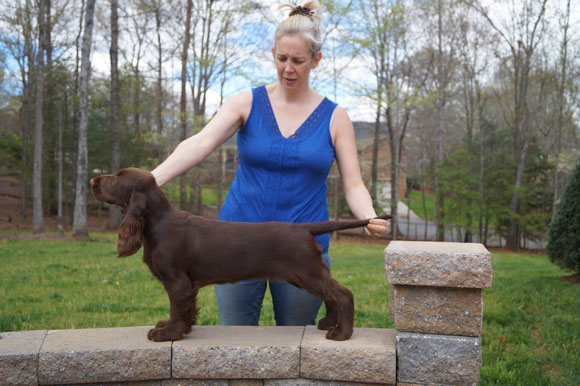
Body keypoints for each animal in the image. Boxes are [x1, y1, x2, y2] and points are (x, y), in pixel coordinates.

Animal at [89, 167, 390, 342]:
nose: (92, 180)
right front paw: (177, 328)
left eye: (116, 178)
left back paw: (342, 332)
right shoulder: (185, 285)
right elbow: (185, 311)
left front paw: (168, 333)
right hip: (305, 274)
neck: (157, 222)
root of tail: (302, 227)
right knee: (331, 294)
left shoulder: (178, 282)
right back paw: (329, 323)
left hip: (306, 271)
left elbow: (178, 309)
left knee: (342, 293)